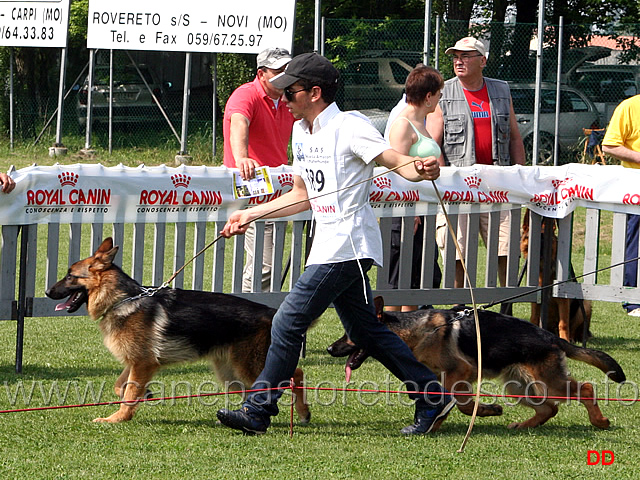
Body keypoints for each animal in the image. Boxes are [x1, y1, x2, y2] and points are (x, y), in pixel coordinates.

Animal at [46, 237, 312, 424]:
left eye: (70, 276)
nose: (47, 292)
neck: (122, 300)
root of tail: (270, 311)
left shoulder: (143, 363)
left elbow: (129, 393)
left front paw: (118, 418)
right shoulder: (136, 363)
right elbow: (121, 386)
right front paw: (144, 395)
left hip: (247, 365)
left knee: (295, 373)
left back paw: (302, 412)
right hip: (231, 372)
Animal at [330, 298, 624, 430]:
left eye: (349, 335)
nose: (330, 348)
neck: (416, 331)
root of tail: (552, 337)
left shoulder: (460, 373)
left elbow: (460, 403)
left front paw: (480, 411)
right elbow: (446, 400)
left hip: (548, 382)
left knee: (585, 389)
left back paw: (599, 421)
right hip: (519, 387)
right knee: (549, 408)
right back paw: (524, 426)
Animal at [524, 209, 592, 342]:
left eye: (545, 240)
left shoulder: (563, 300)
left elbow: (563, 323)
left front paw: (565, 339)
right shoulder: (535, 298)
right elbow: (534, 318)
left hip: (585, 306)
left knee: (573, 328)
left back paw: (571, 338)